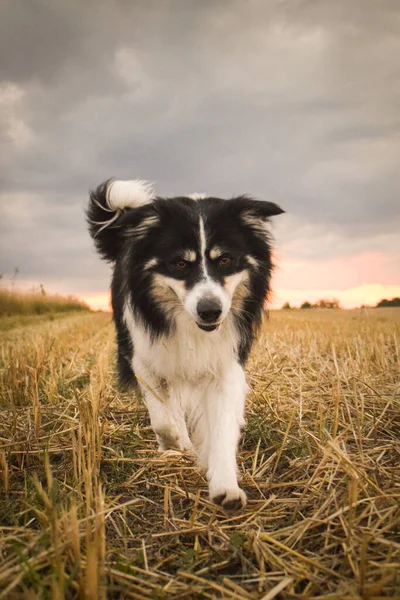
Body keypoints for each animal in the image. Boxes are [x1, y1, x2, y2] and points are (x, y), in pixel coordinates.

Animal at [87, 179, 282, 510]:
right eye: (179, 264)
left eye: (225, 260)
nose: (210, 311)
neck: (190, 326)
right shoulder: (145, 360)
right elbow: (163, 421)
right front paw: (177, 445)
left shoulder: (226, 364)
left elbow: (222, 427)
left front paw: (226, 487)